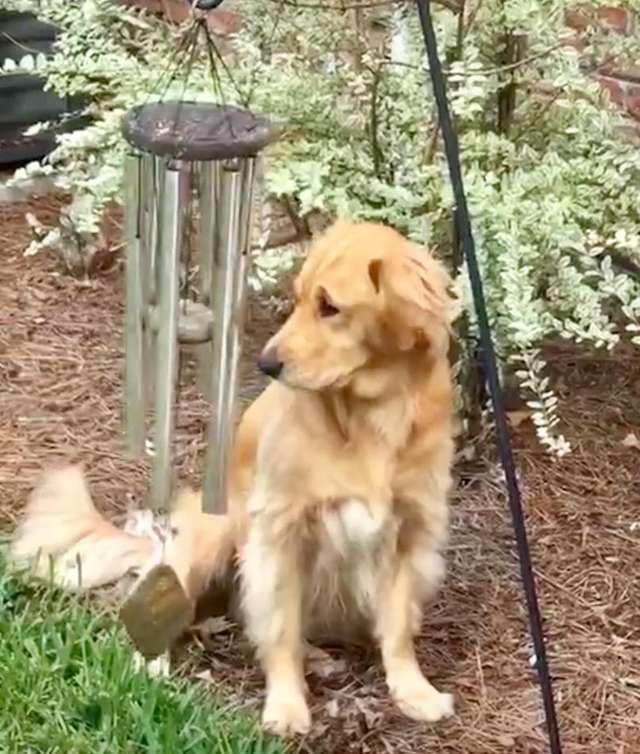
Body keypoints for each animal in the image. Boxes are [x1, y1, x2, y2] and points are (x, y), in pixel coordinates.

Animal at [12, 219, 458, 736]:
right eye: (298, 298)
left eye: (330, 307)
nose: (267, 364)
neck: (371, 415)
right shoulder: (281, 530)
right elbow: (280, 626)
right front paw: (286, 705)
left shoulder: (409, 531)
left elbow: (398, 626)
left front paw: (413, 691)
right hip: (212, 534)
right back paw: (153, 663)